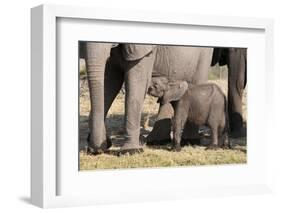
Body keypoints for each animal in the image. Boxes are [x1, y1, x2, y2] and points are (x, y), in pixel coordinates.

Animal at [81, 42, 212, 155]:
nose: (99, 148)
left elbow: (137, 85)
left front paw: (130, 151)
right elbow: (109, 83)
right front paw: (97, 148)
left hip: (204, 55)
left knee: (196, 82)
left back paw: (189, 141)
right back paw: (157, 141)